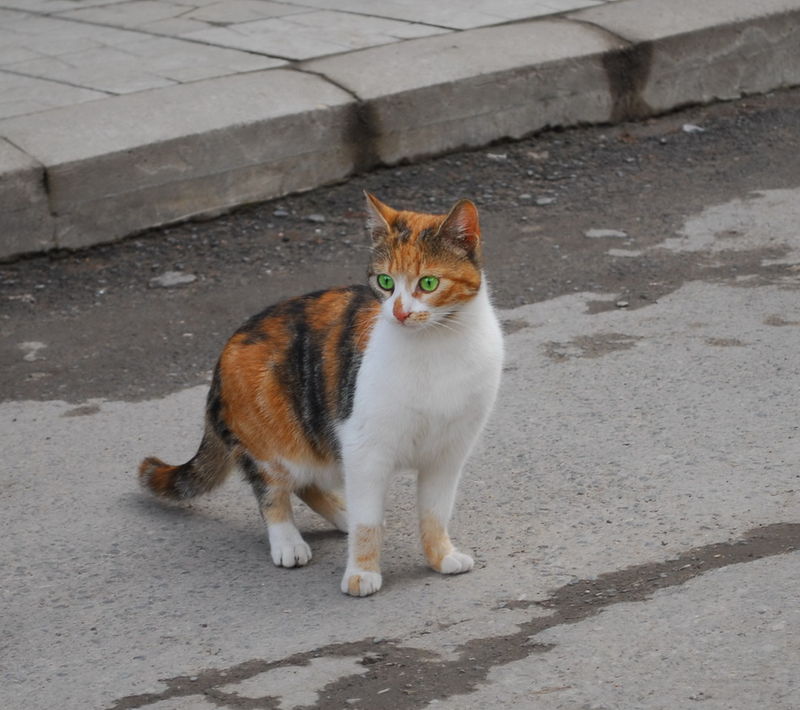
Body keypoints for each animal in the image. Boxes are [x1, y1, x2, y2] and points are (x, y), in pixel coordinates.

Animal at [139, 193, 504, 596]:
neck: (435, 347)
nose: (399, 312)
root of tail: (223, 355)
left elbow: (435, 513)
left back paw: (343, 513)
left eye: (428, 282)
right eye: (385, 281)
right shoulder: (364, 447)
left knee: (311, 486)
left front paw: (441, 556)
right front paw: (362, 572)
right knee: (273, 489)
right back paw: (289, 540)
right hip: (275, 442)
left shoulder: (448, 453)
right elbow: (366, 525)